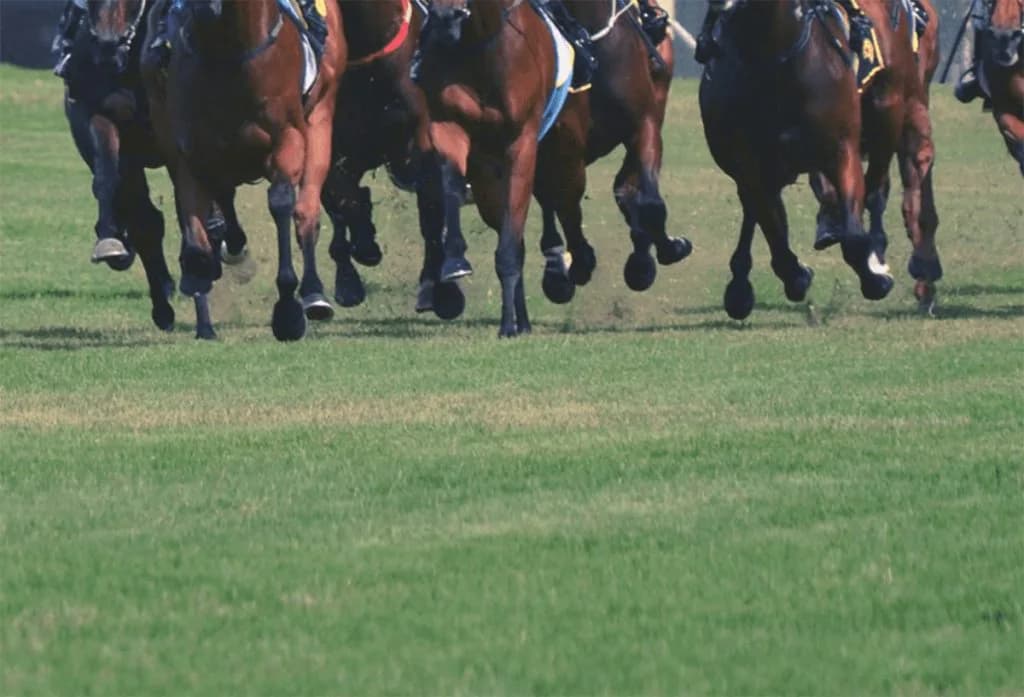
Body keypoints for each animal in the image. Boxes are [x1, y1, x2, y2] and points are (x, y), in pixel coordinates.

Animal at [141, 0, 346, 340]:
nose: (205, 8)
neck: (227, 46)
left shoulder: (288, 137)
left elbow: (281, 202)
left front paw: (288, 312)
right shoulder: (187, 148)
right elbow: (195, 233)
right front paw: (200, 284)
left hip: (320, 116)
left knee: (306, 210)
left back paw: (313, 293)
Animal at [418, 0, 590, 337]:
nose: (445, 17)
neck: (481, 42)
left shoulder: (522, 142)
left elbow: (512, 242)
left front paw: (508, 325)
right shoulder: (448, 125)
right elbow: (452, 185)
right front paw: (455, 259)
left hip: (563, 156)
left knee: (561, 206)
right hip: (489, 183)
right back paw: (521, 317)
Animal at [534, 0, 689, 304]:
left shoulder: (644, 123)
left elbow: (645, 199)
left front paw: (651, 259)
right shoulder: (561, 144)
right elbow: (564, 204)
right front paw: (575, 265)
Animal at [700, 0, 898, 321]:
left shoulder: (841, 150)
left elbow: (854, 236)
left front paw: (876, 277)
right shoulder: (750, 166)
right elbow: (773, 231)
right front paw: (795, 275)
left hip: (888, 119)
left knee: (875, 189)